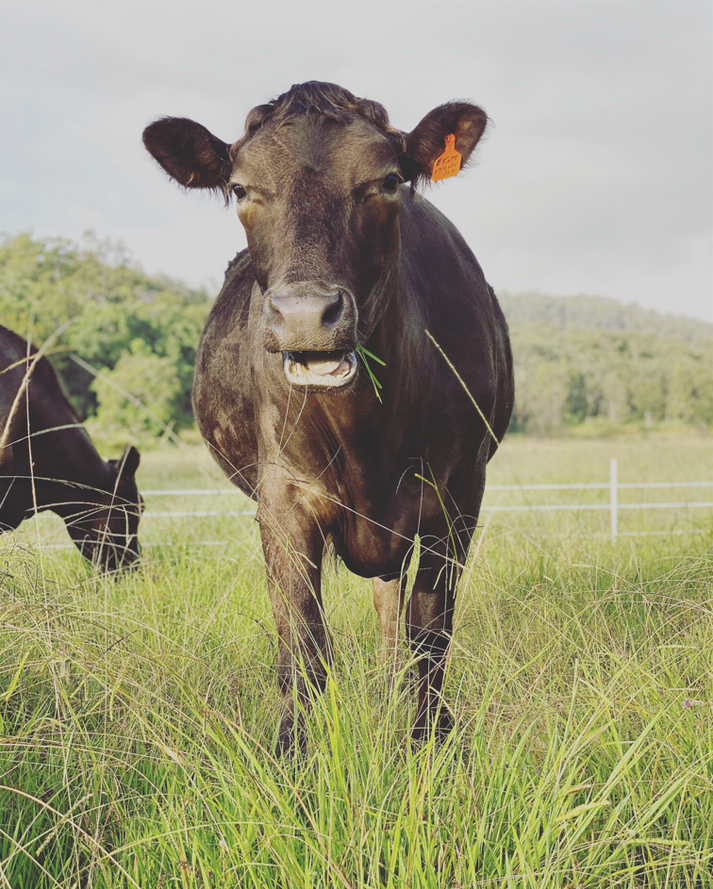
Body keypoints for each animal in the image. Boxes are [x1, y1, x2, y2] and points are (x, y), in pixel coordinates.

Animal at [143, 81, 513, 753]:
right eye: (241, 188)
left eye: (388, 181)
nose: (305, 315)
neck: (369, 435)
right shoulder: (282, 498)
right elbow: (305, 647)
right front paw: (293, 755)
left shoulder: (458, 492)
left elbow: (430, 634)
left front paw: (430, 744)